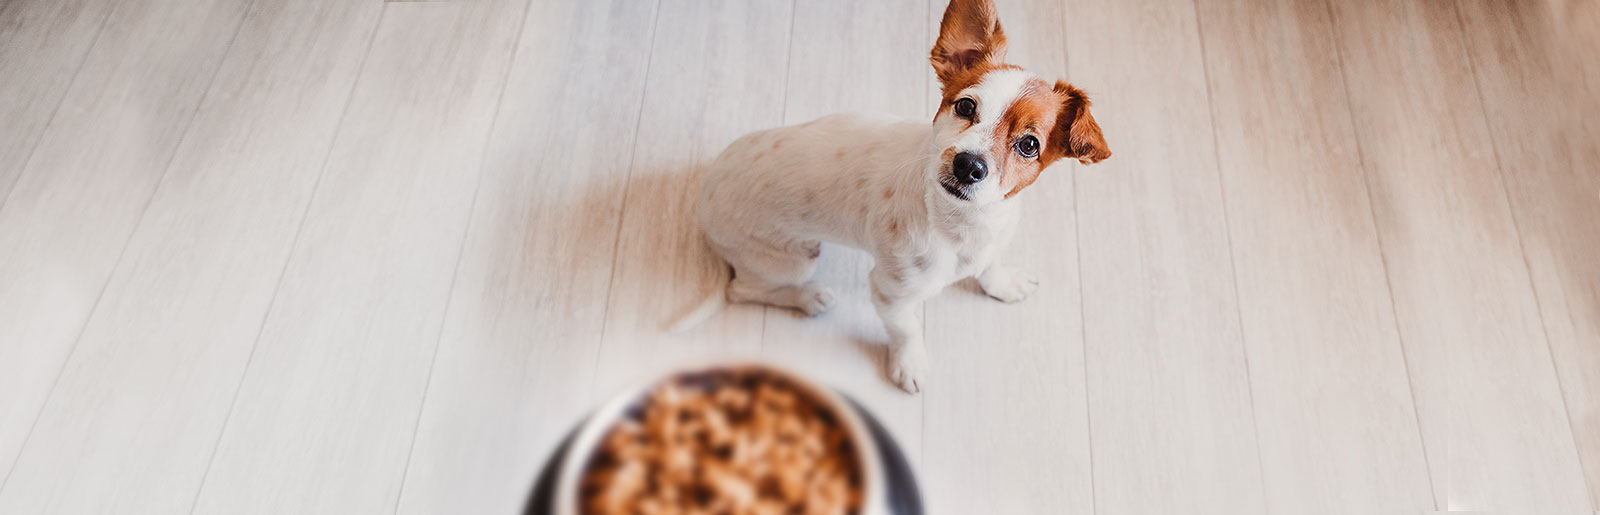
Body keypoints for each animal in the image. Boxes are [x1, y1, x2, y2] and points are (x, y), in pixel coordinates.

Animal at [668, 0, 1107, 395]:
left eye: (1029, 145)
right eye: (966, 106)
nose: (968, 165)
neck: (961, 225)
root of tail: (705, 192)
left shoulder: (991, 243)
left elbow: (989, 266)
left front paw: (1002, 282)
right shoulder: (889, 293)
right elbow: (907, 329)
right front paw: (909, 364)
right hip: (790, 261)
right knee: (742, 290)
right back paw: (807, 297)